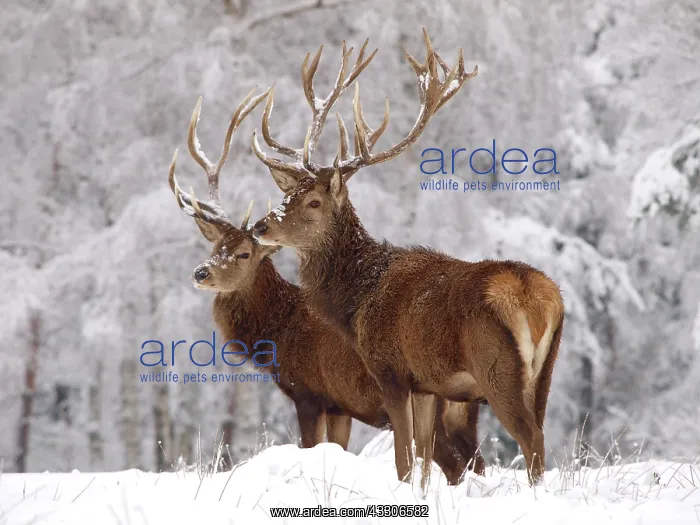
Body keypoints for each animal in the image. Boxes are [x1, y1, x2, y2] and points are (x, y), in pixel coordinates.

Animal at [167, 87, 485, 484]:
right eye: (214, 248)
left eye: (243, 253)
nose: (201, 273)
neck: (278, 333)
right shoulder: (340, 406)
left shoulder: (310, 394)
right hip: (462, 413)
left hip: (437, 401)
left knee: (454, 465)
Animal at [250, 29, 565, 488]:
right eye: (287, 195)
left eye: (313, 202)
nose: (260, 227)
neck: (356, 302)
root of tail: (535, 297)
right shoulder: (427, 385)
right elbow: (424, 459)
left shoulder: (390, 370)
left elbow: (403, 458)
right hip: (545, 371)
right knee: (538, 431)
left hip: (497, 368)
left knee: (531, 437)